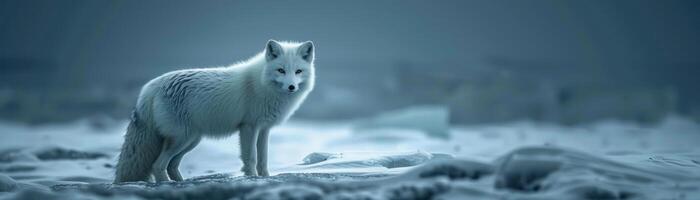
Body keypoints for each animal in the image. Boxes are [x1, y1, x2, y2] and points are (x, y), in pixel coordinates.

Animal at [114, 39, 314, 182]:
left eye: (298, 71)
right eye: (281, 70)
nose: (291, 87)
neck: (261, 84)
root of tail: (151, 86)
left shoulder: (264, 128)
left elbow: (263, 159)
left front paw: (265, 178)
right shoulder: (248, 127)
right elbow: (251, 158)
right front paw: (252, 178)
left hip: (191, 140)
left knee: (172, 165)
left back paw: (181, 183)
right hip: (181, 138)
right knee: (158, 165)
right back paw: (168, 184)